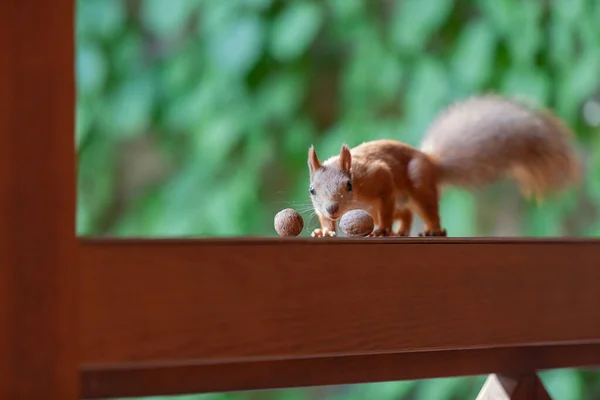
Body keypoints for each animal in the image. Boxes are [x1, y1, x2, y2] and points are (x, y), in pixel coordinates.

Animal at [308, 95, 580, 236]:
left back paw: (431, 230)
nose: (332, 209)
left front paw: (382, 229)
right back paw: (401, 231)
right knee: (405, 213)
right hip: (389, 205)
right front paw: (325, 231)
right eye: (312, 190)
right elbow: (325, 221)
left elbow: (385, 200)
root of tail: (430, 161)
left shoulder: (379, 177)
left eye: (349, 185)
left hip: (418, 184)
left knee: (425, 209)